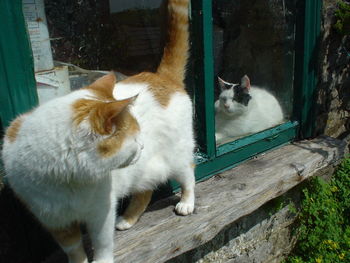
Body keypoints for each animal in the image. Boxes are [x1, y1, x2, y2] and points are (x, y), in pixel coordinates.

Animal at [1, 0, 194, 263]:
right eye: (136, 137)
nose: (143, 145)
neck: (67, 177)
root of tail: (160, 76)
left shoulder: (100, 212)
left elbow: (102, 243)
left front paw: (102, 259)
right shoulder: (55, 221)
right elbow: (73, 249)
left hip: (176, 156)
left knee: (188, 173)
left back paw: (187, 202)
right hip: (144, 170)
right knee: (144, 191)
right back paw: (127, 219)